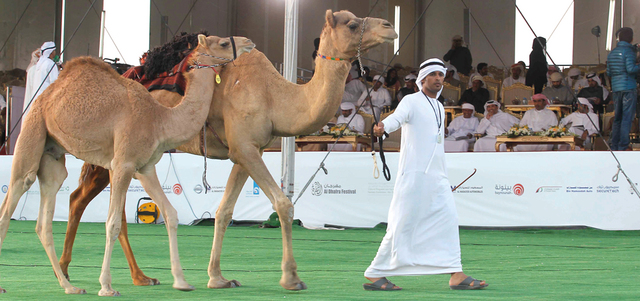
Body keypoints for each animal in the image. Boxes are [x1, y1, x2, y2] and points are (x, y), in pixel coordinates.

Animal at [0, 33, 255, 296]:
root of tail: (45, 96)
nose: (248, 42)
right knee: (12, 202)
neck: (159, 119)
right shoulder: (123, 164)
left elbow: (171, 214)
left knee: (45, 219)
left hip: (52, 157)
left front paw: (181, 281)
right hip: (32, 132)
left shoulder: (145, 167)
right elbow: (112, 223)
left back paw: (70, 286)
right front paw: (106, 286)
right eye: (223, 43)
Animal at [58, 9, 396, 290]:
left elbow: (224, 212)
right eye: (352, 24)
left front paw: (217, 278)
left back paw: (139, 276)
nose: (389, 26)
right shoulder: (245, 148)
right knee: (79, 198)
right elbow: (283, 204)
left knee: (91, 200)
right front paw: (291, 278)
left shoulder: (246, 151)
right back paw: (67, 270)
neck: (275, 96)